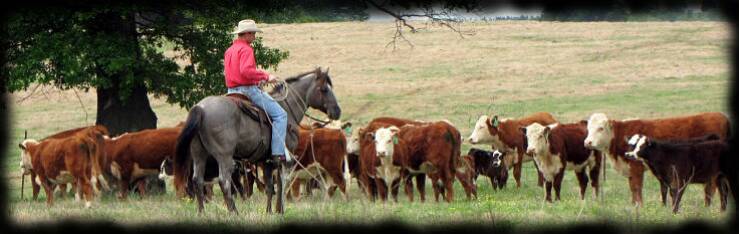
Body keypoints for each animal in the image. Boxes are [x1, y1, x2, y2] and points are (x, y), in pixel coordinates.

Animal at [175, 67, 342, 214]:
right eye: (324, 89)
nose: (337, 111)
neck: (287, 110)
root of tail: (201, 108)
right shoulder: (284, 160)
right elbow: (282, 184)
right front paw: (280, 210)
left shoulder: (266, 162)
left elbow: (270, 187)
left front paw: (269, 211)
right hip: (224, 156)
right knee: (224, 181)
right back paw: (234, 212)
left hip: (199, 154)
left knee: (197, 180)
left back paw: (201, 212)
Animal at [588, 112, 732, 206]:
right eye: (588, 129)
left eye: (600, 128)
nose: (587, 142)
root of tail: (721, 116)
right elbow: (633, 188)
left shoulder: (636, 167)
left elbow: (636, 187)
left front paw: (639, 206)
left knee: (712, 188)